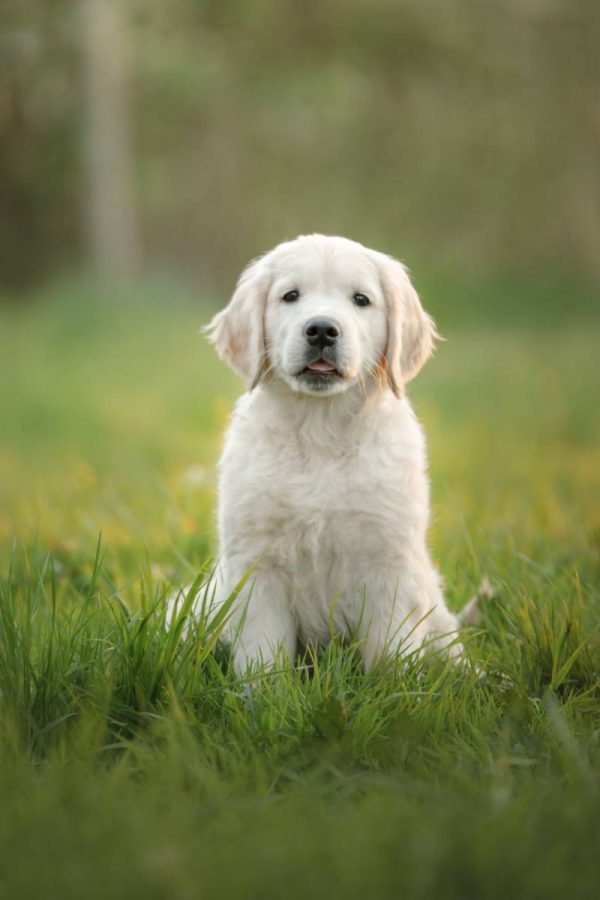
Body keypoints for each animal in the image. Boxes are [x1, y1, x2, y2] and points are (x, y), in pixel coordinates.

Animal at [192, 236, 460, 672]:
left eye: (360, 299)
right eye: (291, 296)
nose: (321, 330)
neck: (321, 431)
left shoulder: (389, 561)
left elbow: (390, 654)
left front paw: (395, 689)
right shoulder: (256, 563)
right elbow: (263, 656)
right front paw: (264, 690)